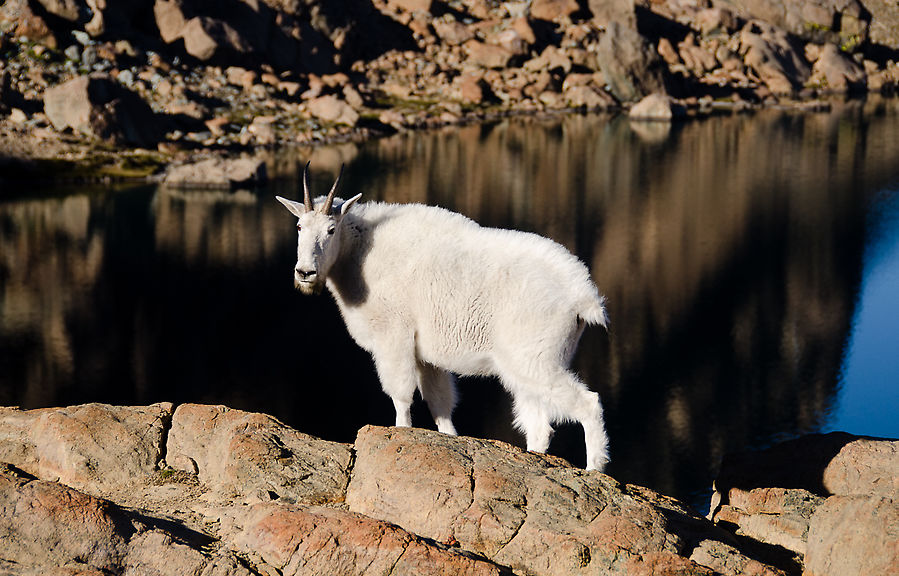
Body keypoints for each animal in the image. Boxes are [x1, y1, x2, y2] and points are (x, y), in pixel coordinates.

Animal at [274, 164, 612, 470]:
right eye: (299, 227)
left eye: (331, 230)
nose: (305, 273)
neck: (360, 252)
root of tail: (584, 297)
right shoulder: (426, 355)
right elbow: (440, 403)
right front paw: (450, 440)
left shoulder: (393, 336)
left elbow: (401, 394)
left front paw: (401, 433)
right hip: (527, 365)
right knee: (540, 424)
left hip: (535, 358)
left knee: (588, 403)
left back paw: (594, 468)